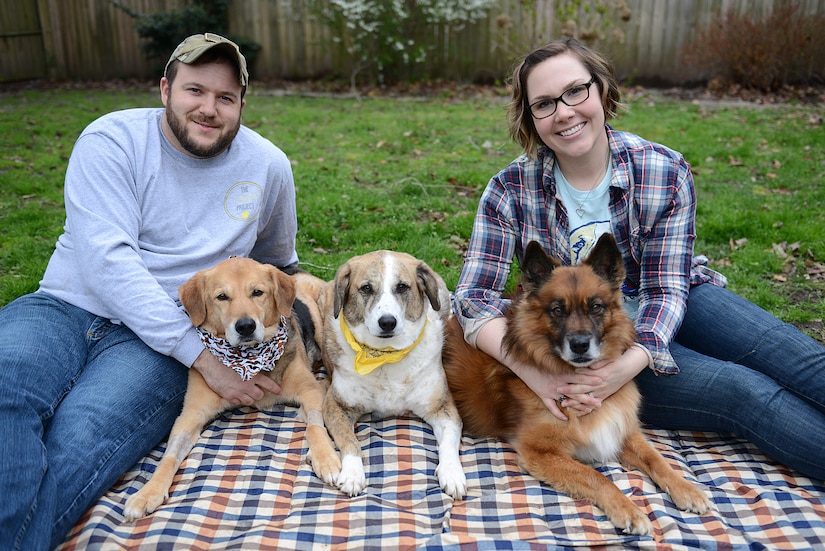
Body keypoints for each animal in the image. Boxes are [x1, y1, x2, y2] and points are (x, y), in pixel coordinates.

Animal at [121, 258, 338, 520]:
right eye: (222, 297)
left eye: (257, 292)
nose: (245, 326)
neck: (250, 360)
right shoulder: (191, 414)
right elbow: (168, 457)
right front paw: (148, 492)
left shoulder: (310, 392)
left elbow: (315, 428)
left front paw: (326, 459)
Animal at [318, 250, 466, 500]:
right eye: (366, 288)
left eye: (402, 287)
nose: (387, 322)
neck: (385, 356)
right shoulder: (335, 405)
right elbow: (349, 441)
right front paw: (352, 474)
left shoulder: (442, 407)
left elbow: (449, 442)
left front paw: (452, 473)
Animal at [444, 234, 708, 536]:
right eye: (557, 310)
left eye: (596, 306)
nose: (580, 345)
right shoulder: (540, 451)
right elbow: (596, 477)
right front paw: (628, 510)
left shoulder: (623, 428)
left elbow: (657, 459)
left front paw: (686, 488)